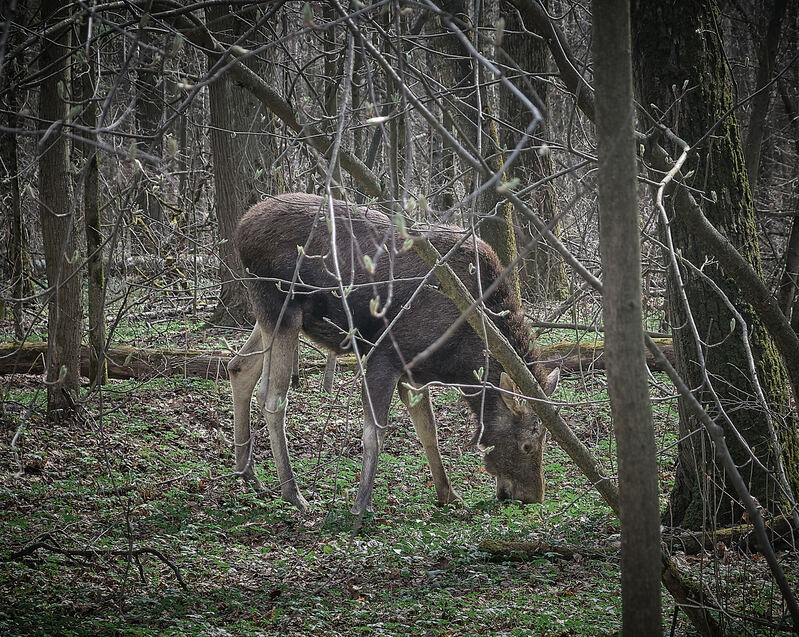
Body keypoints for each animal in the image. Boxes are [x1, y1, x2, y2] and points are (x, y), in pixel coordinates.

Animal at [228, 193, 560, 512]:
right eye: (528, 445)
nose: (533, 496)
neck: (462, 364)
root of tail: (241, 227)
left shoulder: (414, 372)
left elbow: (428, 432)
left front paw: (449, 495)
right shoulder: (385, 356)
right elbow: (374, 433)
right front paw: (361, 505)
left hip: (271, 317)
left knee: (238, 367)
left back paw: (248, 472)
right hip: (281, 309)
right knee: (272, 398)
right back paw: (292, 493)